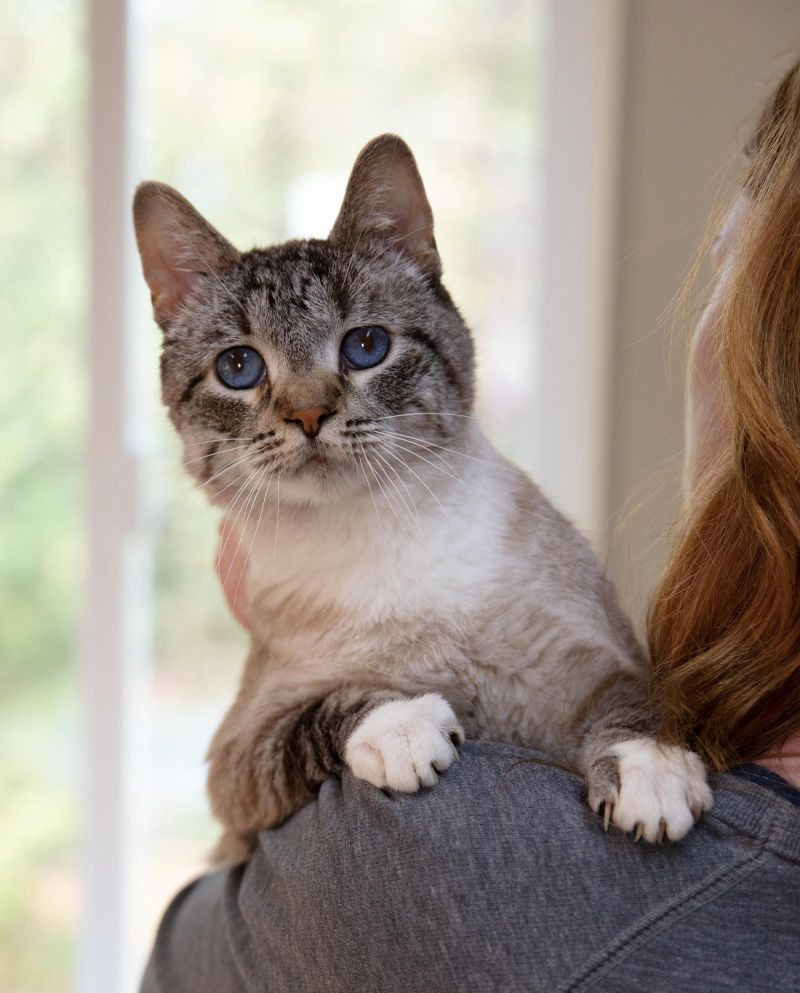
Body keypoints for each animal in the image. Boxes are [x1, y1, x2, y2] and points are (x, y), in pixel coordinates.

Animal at [133, 132, 712, 860]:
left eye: (366, 346)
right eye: (239, 368)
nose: (308, 416)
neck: (379, 536)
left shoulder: (602, 664)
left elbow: (643, 704)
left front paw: (651, 776)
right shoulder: (238, 764)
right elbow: (324, 713)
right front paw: (406, 728)